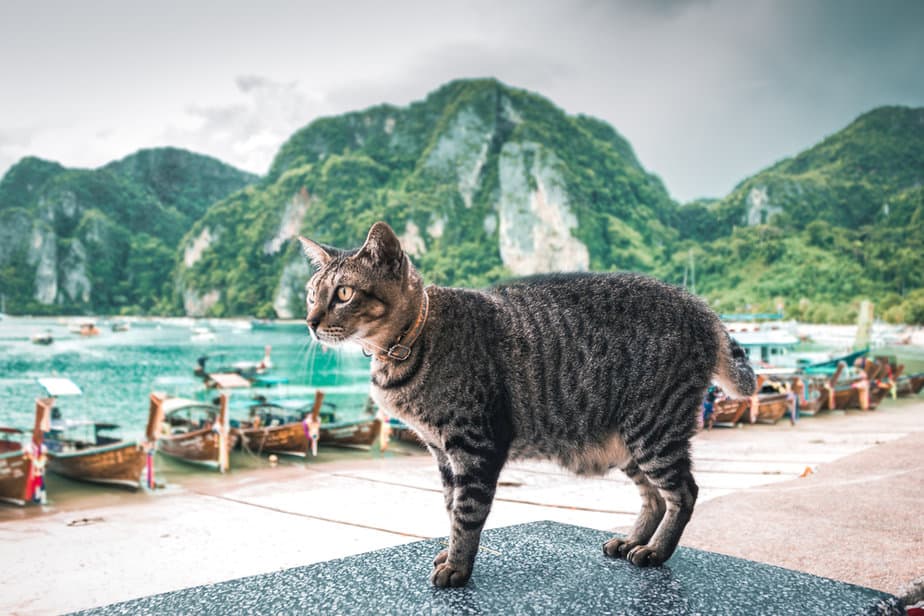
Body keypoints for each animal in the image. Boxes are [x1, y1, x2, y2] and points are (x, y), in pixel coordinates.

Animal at [300, 220, 756, 588]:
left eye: (343, 293)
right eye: (310, 295)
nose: (310, 322)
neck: (406, 347)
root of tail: (701, 307)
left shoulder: (475, 445)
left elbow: (467, 512)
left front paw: (458, 567)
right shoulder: (441, 452)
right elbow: (450, 506)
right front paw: (450, 552)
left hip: (653, 427)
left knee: (683, 492)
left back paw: (656, 551)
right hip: (627, 441)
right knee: (655, 497)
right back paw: (633, 539)